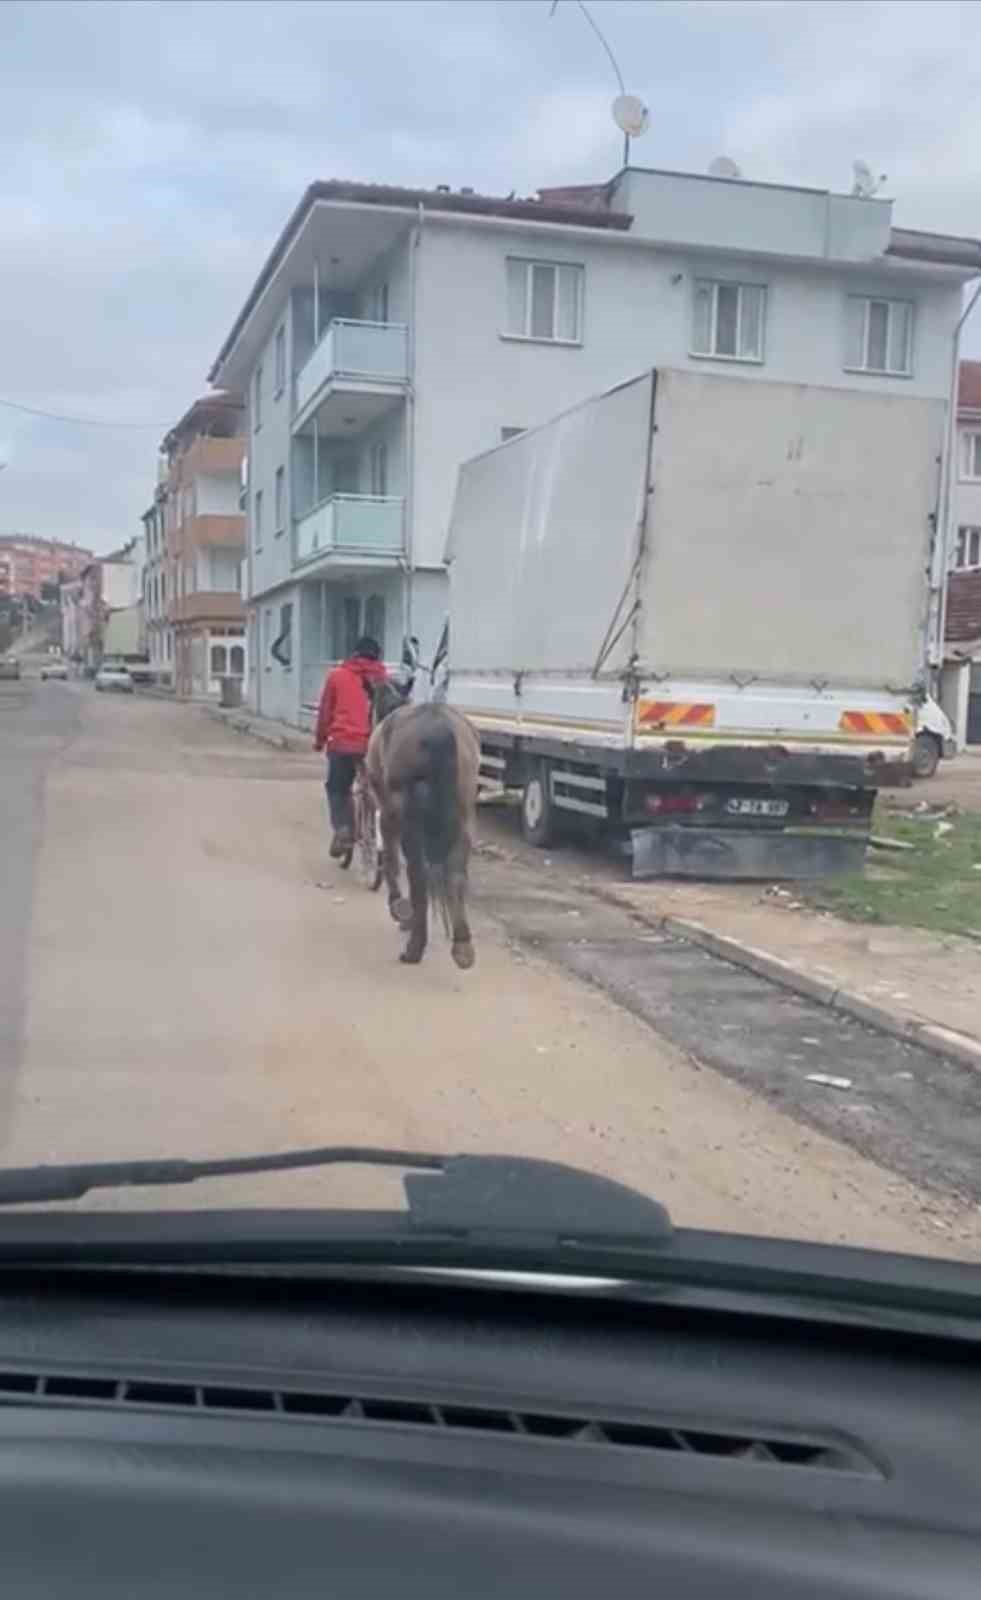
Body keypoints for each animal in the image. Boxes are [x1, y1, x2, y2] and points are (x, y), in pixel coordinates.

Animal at [363, 681, 476, 966]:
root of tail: (438, 728)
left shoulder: (388, 814)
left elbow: (390, 860)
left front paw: (398, 908)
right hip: (464, 816)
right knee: (456, 874)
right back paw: (462, 947)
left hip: (409, 822)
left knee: (418, 876)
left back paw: (414, 946)